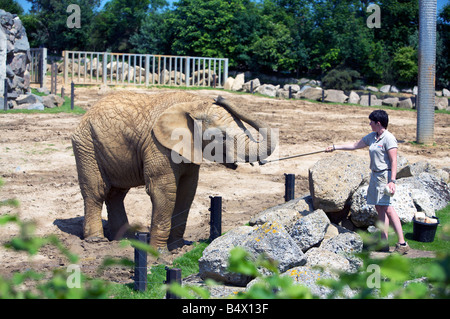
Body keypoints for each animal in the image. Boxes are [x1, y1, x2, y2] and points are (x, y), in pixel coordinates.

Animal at [71, 91, 276, 251]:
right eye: (222, 137)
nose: (219, 97)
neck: (194, 103)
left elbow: (187, 191)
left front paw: (176, 248)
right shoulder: (158, 145)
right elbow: (164, 191)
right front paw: (159, 253)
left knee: (117, 194)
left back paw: (125, 239)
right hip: (86, 145)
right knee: (96, 191)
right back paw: (96, 241)